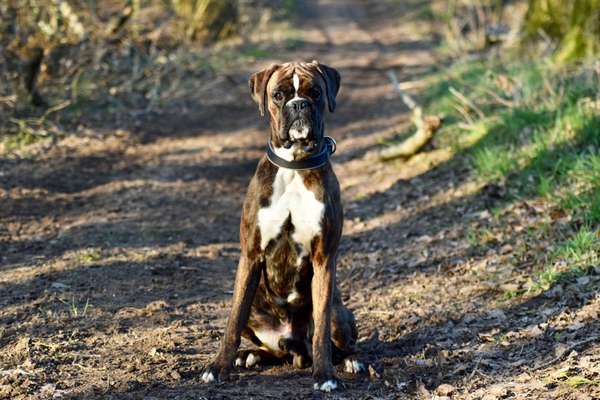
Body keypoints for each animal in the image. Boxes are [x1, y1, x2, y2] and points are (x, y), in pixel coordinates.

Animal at [200, 61, 360, 392]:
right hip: (255, 307)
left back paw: (350, 362)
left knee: (339, 339)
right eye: (277, 95)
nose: (298, 104)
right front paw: (218, 368)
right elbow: (232, 321)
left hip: (339, 313)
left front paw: (325, 375)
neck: (294, 166)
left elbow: (320, 330)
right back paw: (249, 356)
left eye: (315, 92)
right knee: (265, 343)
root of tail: (293, 346)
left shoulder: (324, 258)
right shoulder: (250, 256)